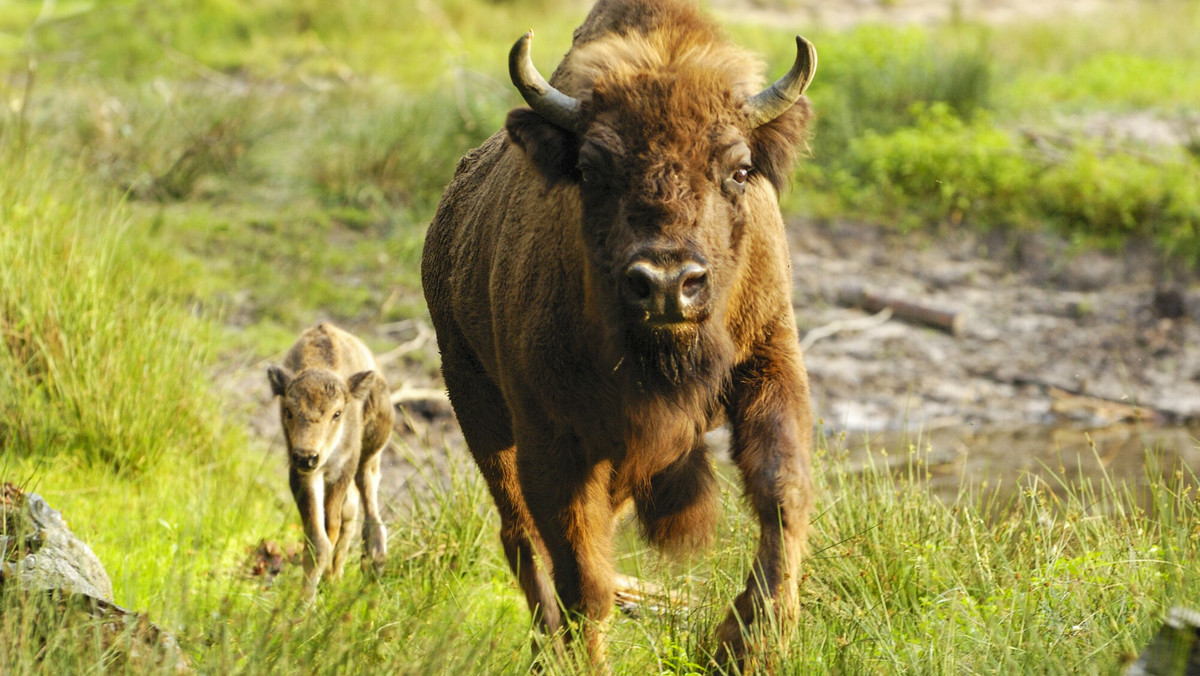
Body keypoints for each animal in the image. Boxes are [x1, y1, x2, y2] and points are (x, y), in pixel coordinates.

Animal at [267, 321, 393, 593]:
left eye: (337, 413)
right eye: (289, 411)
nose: (307, 456)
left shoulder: (341, 470)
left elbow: (332, 526)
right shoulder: (304, 474)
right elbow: (319, 539)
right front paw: (307, 598)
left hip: (370, 456)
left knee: (366, 507)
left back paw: (371, 567)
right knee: (353, 512)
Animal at [420, 0, 816, 667]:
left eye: (739, 169)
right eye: (589, 168)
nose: (667, 283)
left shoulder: (769, 366)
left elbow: (781, 493)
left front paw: (748, 644)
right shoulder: (553, 439)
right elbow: (583, 573)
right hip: (479, 408)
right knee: (520, 535)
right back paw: (547, 652)